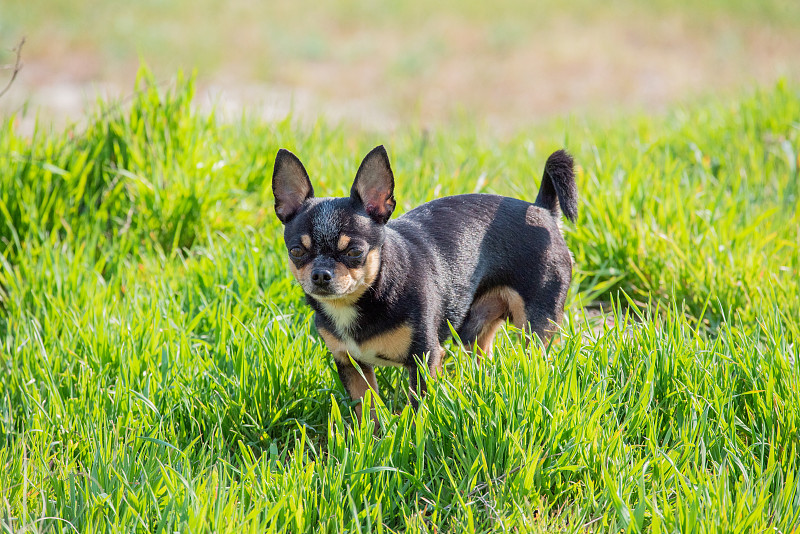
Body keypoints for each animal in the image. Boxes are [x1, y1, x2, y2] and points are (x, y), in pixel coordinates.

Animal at [272, 144, 580, 426]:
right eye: (297, 252)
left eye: (354, 252)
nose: (321, 275)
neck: (367, 296)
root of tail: (542, 210)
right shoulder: (351, 363)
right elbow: (366, 409)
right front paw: (369, 440)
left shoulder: (424, 358)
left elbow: (418, 407)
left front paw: (409, 437)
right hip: (474, 329)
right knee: (482, 357)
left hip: (536, 324)